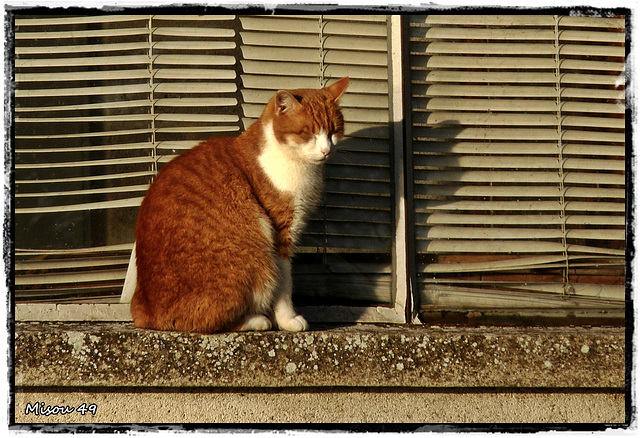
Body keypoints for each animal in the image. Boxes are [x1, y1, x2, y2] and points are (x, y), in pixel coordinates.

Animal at [124, 78, 350, 332]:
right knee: (213, 321)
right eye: (308, 132)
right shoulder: (281, 233)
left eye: (334, 131)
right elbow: (284, 284)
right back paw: (258, 320)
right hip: (257, 257)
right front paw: (288, 320)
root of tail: (144, 311)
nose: (326, 150)